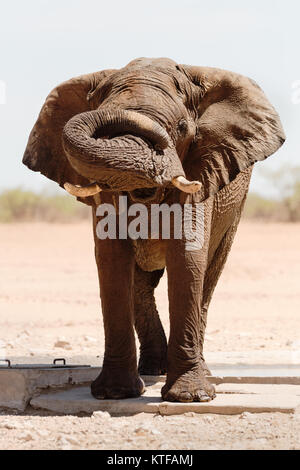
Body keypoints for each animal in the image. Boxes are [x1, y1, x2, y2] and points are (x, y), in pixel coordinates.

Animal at [22, 57, 284, 402]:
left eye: (183, 128)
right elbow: (111, 258)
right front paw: (114, 394)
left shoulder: (202, 169)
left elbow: (188, 257)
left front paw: (190, 397)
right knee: (140, 283)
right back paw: (152, 370)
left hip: (235, 209)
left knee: (209, 275)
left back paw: (199, 373)